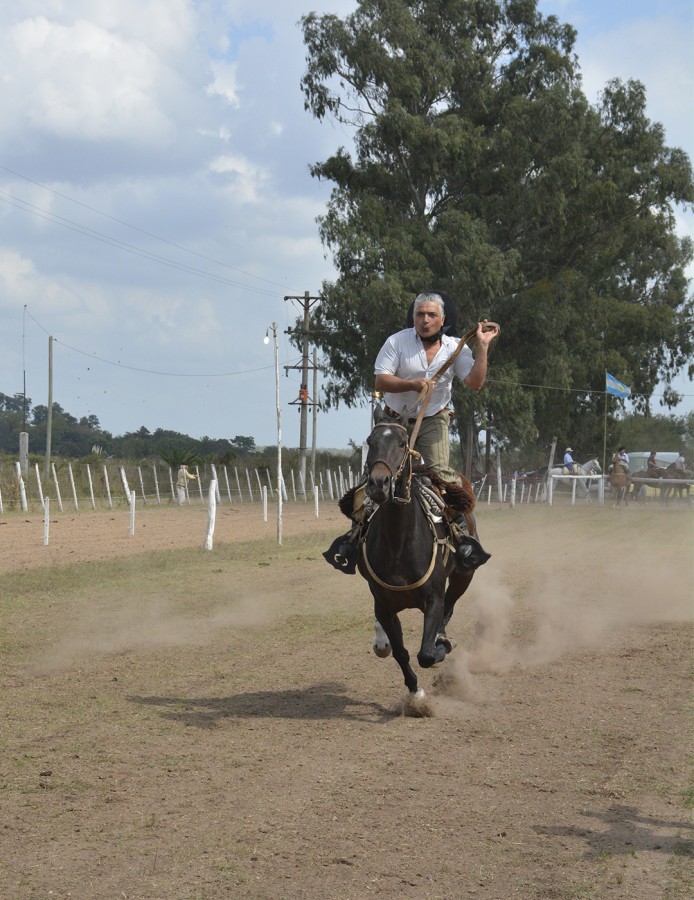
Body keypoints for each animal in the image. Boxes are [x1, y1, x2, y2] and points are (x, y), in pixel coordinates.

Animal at [358, 408, 484, 712]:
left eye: (402, 443)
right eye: (370, 440)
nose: (379, 484)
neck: (398, 543)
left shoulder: (433, 598)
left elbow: (426, 653)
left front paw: (441, 647)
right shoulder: (384, 605)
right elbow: (401, 652)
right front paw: (416, 693)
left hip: (464, 576)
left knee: (450, 607)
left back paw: (442, 638)